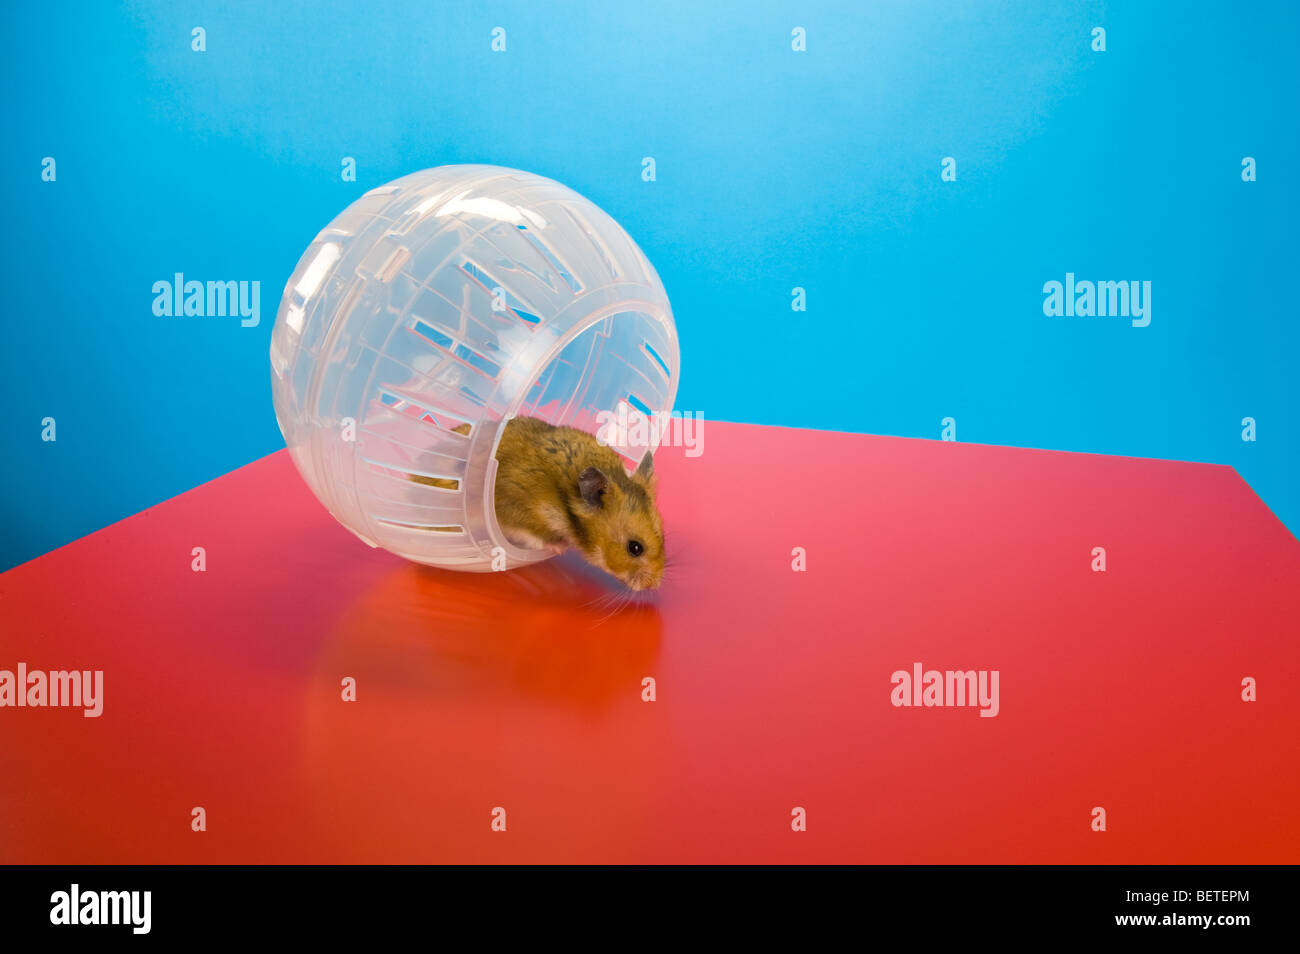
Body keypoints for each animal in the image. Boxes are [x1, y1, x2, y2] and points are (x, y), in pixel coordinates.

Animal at [411, 416, 666, 591]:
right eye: (635, 548)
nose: (655, 585)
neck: (566, 500)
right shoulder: (520, 516)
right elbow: (536, 536)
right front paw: (560, 547)